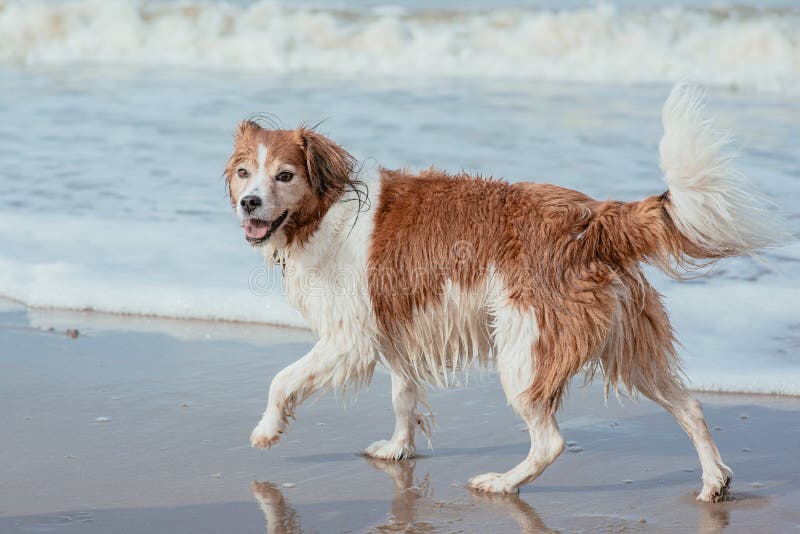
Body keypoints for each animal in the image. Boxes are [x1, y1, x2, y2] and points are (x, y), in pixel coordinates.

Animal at [223, 84, 780, 502]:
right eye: (244, 172)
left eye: (285, 175)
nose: (249, 203)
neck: (326, 211)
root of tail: (592, 219)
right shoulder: (396, 329)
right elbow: (403, 396)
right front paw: (399, 449)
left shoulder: (348, 339)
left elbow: (281, 379)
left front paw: (267, 430)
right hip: (630, 347)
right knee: (690, 406)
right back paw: (713, 481)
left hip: (526, 350)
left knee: (550, 441)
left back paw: (503, 483)